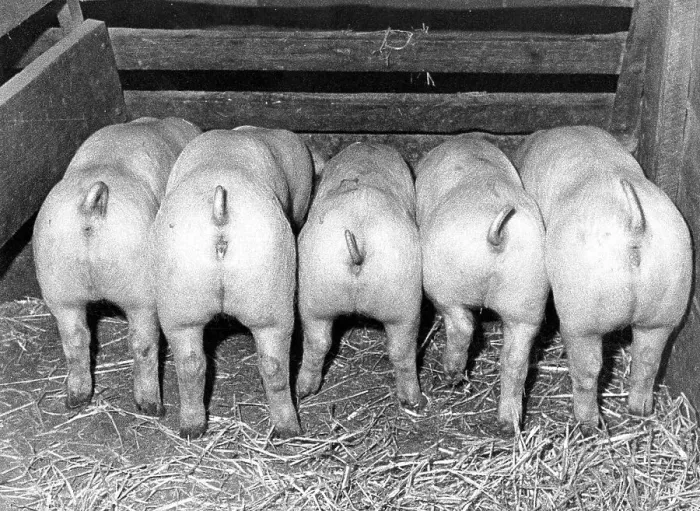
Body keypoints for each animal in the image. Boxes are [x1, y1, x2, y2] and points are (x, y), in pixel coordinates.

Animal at [33, 117, 202, 416]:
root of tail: (92, 206)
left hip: (58, 287)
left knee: (75, 339)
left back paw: (76, 398)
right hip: (141, 292)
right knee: (143, 344)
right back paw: (152, 406)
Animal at [152, 127, 313, 439]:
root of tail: (220, 212)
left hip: (183, 301)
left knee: (192, 364)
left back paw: (193, 427)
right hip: (271, 287)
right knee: (274, 364)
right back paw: (289, 429)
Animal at [296, 143, 427, 412]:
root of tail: (360, 237)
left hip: (316, 292)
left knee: (317, 342)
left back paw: (303, 390)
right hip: (403, 299)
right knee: (403, 350)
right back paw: (415, 401)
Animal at [415, 135, 548, 433]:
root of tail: (497, 237)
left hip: (444, 284)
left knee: (462, 326)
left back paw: (450, 374)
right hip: (527, 297)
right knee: (515, 360)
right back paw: (509, 423)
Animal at [513, 125, 692, 431]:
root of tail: (634, 224)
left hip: (582, 315)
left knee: (588, 370)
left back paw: (587, 425)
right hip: (666, 304)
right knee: (647, 360)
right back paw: (640, 410)